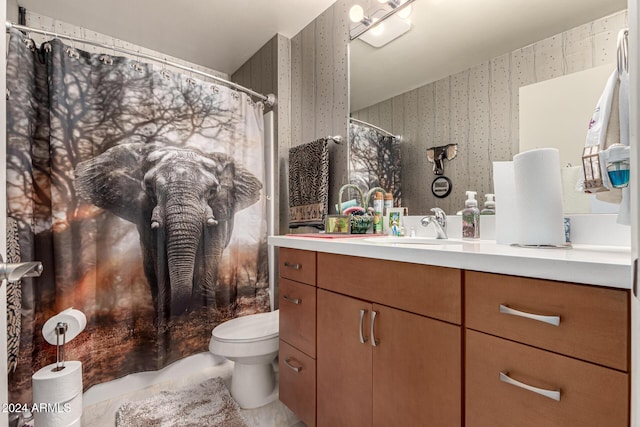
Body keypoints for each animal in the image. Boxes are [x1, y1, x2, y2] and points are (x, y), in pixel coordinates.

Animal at [75, 144, 262, 320]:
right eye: (149, 187)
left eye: (212, 191)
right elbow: (156, 251)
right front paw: (166, 320)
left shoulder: (219, 208)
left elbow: (211, 247)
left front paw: (204, 316)